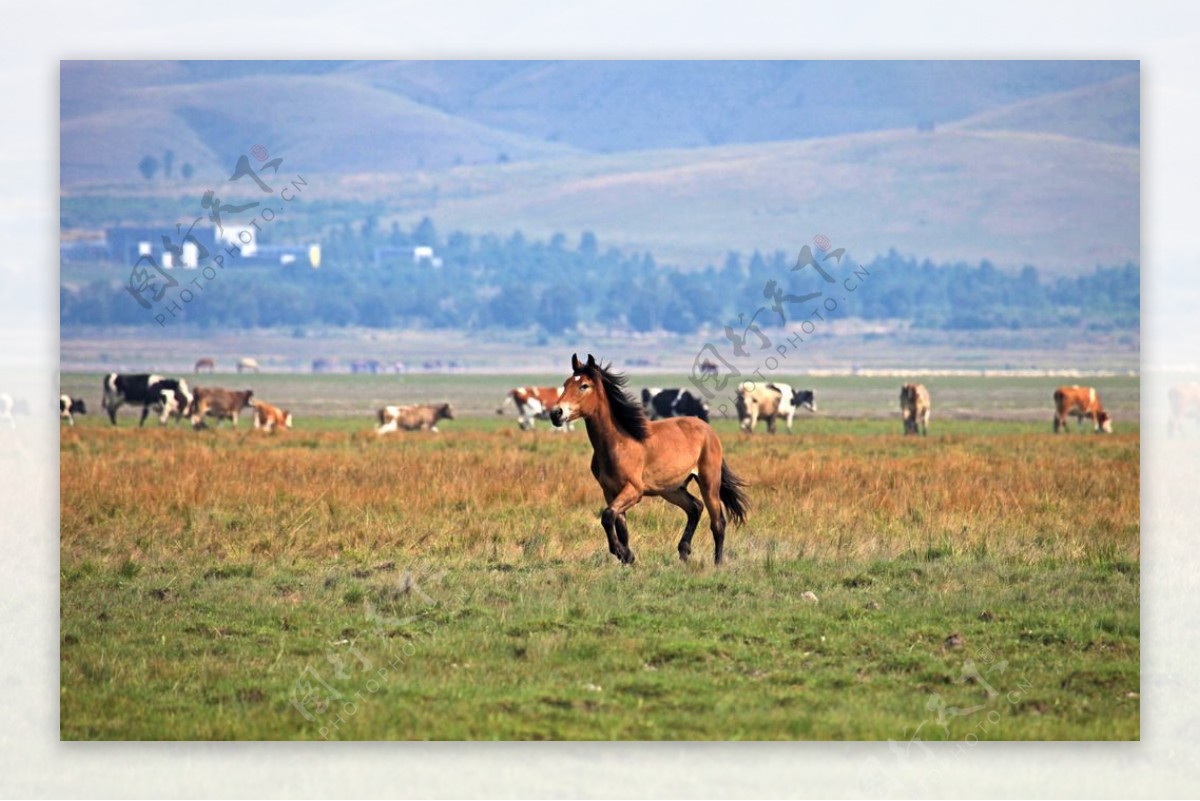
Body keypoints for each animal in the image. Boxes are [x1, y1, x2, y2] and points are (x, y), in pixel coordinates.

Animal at [549, 352, 744, 565]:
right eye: (566, 384)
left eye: (583, 385)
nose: (556, 413)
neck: (619, 442)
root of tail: (708, 430)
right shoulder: (610, 491)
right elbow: (620, 526)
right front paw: (627, 557)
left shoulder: (634, 490)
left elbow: (607, 516)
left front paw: (622, 553)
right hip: (672, 489)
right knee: (695, 507)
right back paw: (684, 551)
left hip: (709, 482)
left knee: (718, 522)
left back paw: (717, 563)